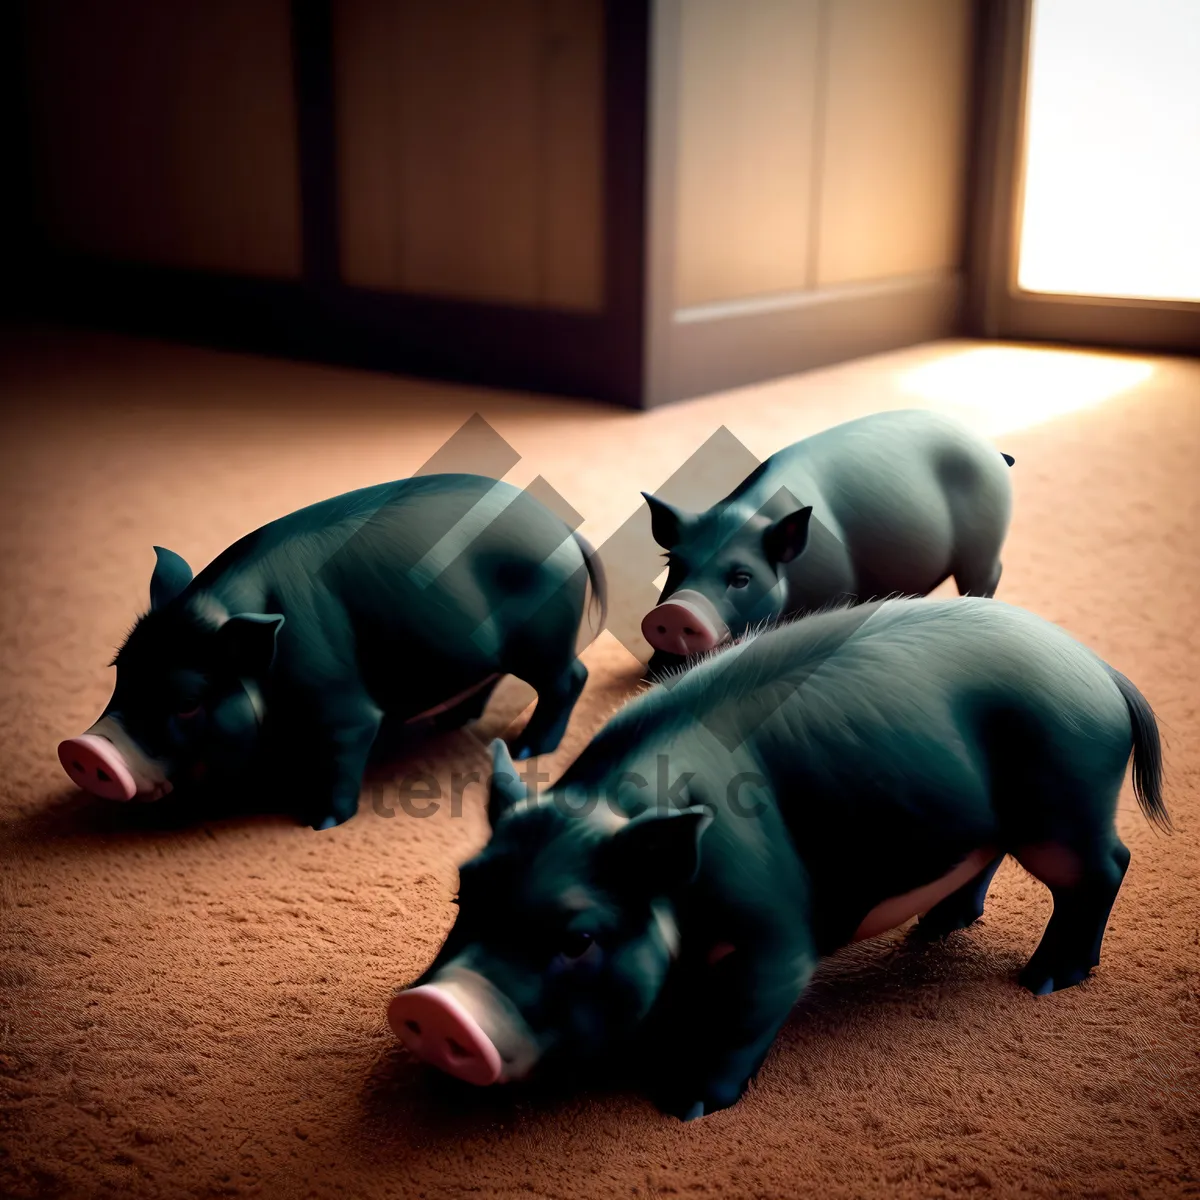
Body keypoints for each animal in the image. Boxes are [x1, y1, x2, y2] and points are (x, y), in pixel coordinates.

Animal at [55, 472, 604, 830]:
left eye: (188, 702)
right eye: (120, 671)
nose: (82, 750)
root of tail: (567, 532)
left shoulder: (345, 708)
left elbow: (343, 756)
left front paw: (318, 822)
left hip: (544, 644)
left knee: (570, 679)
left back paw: (529, 748)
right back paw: (450, 724)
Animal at [388, 595, 1166, 1118]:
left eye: (579, 939)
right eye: (462, 896)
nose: (433, 1008)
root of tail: (1103, 671)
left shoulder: (776, 932)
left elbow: (749, 1012)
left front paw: (685, 1105)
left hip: (1064, 810)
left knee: (1107, 867)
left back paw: (1044, 981)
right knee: (990, 859)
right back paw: (937, 928)